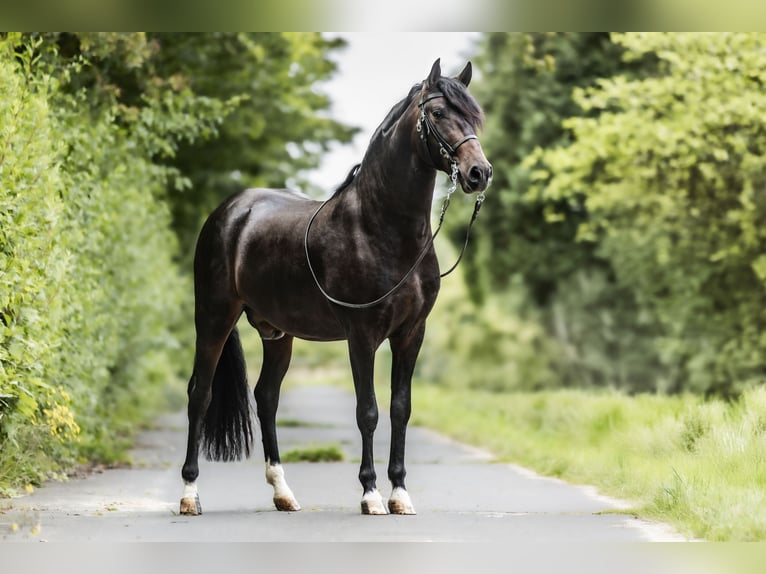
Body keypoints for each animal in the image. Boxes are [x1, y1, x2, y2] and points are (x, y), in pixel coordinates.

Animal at [180, 58, 492, 516]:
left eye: (475, 116)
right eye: (437, 113)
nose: (479, 173)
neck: (380, 228)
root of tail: (231, 211)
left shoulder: (411, 333)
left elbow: (401, 408)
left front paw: (400, 493)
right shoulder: (362, 335)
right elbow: (368, 412)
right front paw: (371, 494)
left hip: (277, 333)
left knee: (266, 397)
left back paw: (283, 493)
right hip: (214, 318)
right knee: (199, 394)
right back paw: (189, 494)